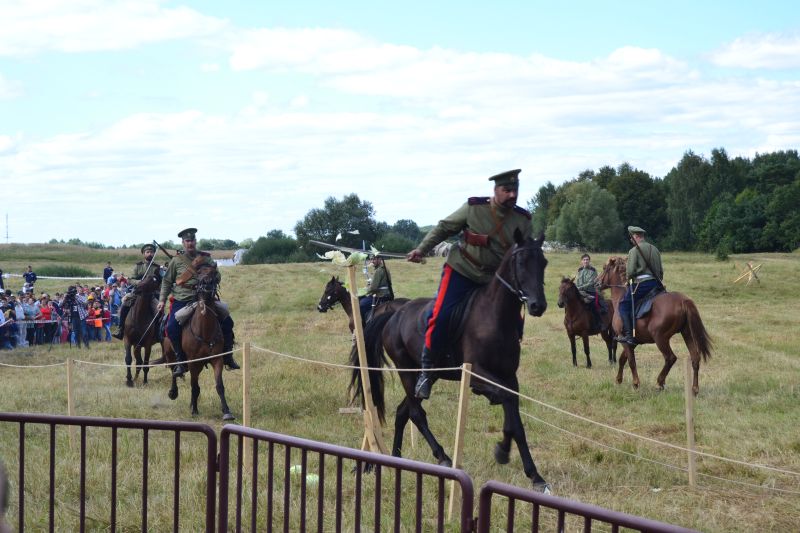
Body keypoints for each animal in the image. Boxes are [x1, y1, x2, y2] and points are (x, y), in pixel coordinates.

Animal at [164, 264, 233, 418]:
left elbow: (219, 386)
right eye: (199, 273)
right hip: (171, 356)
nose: (207, 283)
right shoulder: (192, 361)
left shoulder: (217, 359)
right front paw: (195, 410)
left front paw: (226, 411)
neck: (204, 330)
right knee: (174, 371)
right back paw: (173, 392)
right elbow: (194, 386)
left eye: (213, 273)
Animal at [350, 232, 552, 490]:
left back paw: (396, 458)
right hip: (407, 372)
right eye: (521, 263)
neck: (495, 316)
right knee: (415, 414)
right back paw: (443, 457)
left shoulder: (509, 378)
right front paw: (504, 451)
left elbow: (515, 421)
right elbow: (506, 402)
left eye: (543, 263)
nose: (538, 305)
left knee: (403, 412)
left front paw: (534, 475)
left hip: (427, 376)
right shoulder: (478, 376)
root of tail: (393, 315)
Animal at [596, 256, 716, 392]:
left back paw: (660, 382)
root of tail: (683, 301)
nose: (596, 283)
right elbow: (623, 359)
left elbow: (631, 361)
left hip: (660, 338)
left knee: (670, 358)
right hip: (687, 334)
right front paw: (618, 379)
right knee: (695, 358)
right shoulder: (633, 342)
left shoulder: (624, 339)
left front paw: (636, 383)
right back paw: (694, 389)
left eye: (604, 268)